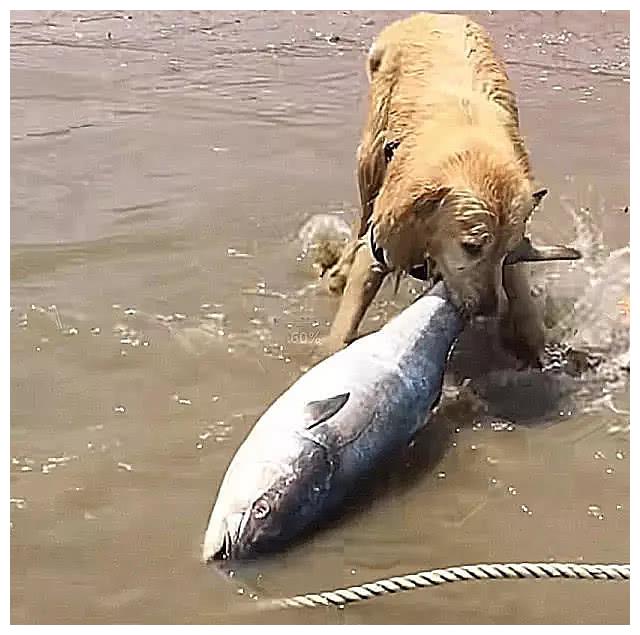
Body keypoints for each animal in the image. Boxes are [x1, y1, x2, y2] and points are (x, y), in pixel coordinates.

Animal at [324, 12, 580, 366]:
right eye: (471, 247)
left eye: (505, 250)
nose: (487, 310)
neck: (470, 151)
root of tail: (429, 14)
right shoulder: (383, 242)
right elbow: (343, 328)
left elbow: (524, 307)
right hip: (369, 159)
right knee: (362, 217)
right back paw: (339, 272)